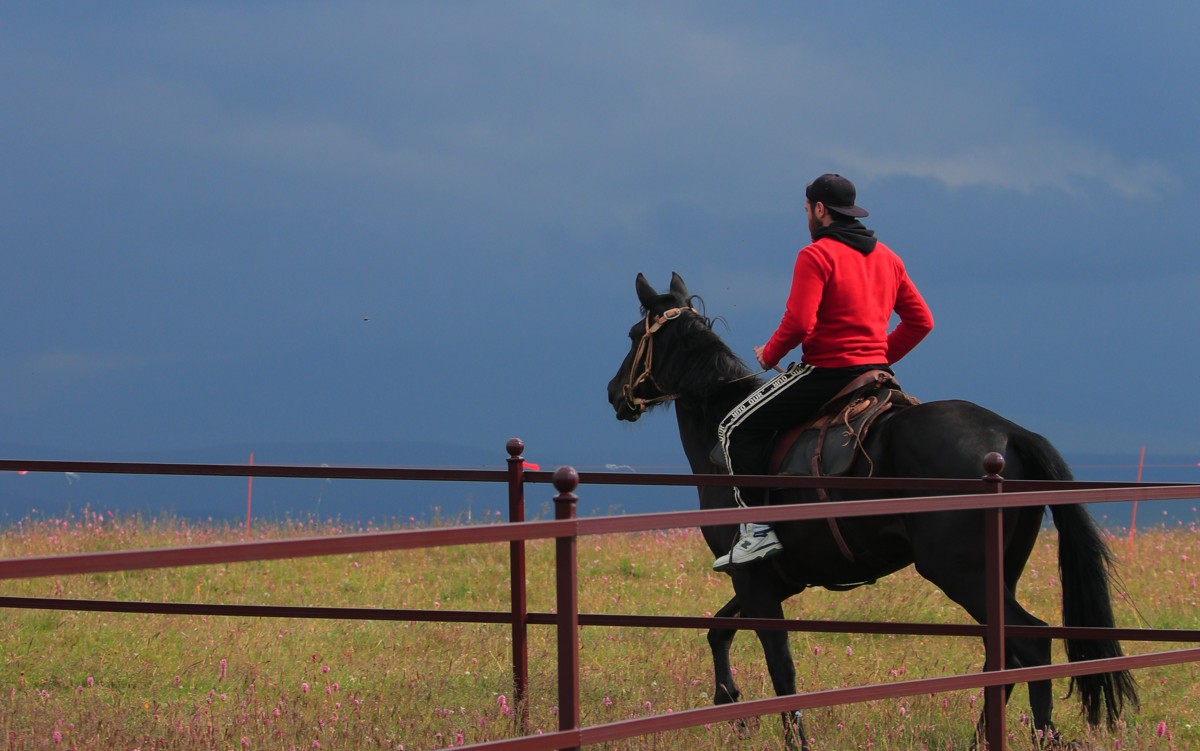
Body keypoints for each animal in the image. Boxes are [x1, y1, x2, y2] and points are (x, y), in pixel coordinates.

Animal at [609, 272, 1132, 748]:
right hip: (997, 573)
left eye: (635, 335)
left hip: (959, 572)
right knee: (1000, 648)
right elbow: (717, 630)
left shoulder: (754, 579)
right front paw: (731, 706)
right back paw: (982, 738)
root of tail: (1010, 433)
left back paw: (1036, 735)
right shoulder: (773, 580)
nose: (615, 392)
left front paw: (791, 737)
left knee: (1031, 642)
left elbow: (780, 666)